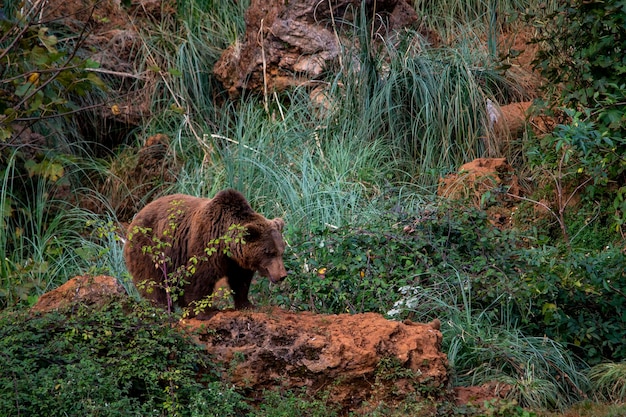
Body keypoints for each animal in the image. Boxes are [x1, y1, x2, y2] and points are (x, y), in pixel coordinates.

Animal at [124, 188, 286, 312]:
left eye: (281, 251)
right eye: (269, 252)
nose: (282, 276)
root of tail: (137, 215)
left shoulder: (237, 261)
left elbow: (241, 281)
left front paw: (247, 304)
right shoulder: (205, 245)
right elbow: (199, 279)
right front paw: (204, 310)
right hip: (149, 250)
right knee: (153, 284)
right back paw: (163, 309)